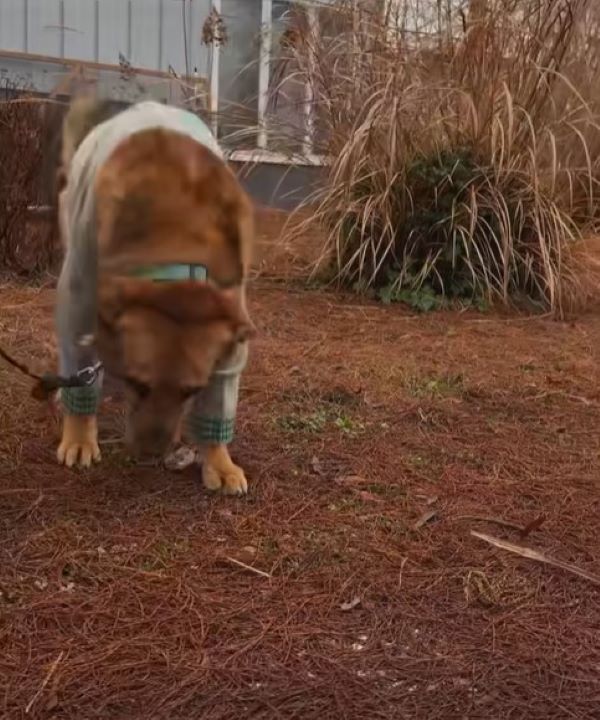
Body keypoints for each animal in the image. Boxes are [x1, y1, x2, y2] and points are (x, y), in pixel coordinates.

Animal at [52, 97, 254, 496]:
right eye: (137, 383)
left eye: (191, 390)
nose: (150, 455)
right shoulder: (79, 301)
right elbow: (80, 361)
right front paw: (79, 437)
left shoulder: (230, 329)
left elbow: (219, 398)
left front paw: (218, 461)